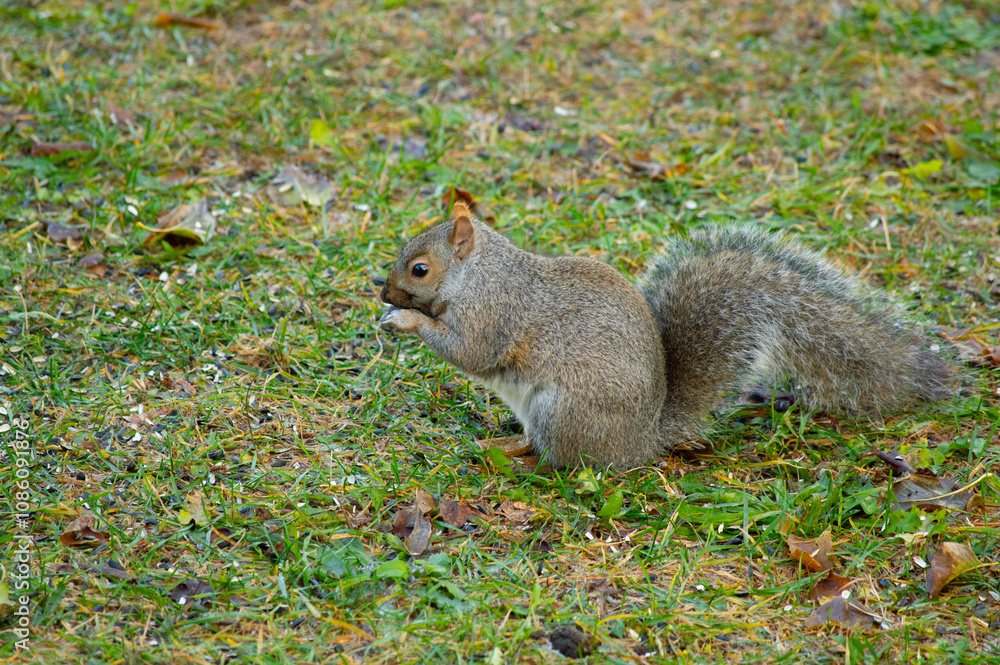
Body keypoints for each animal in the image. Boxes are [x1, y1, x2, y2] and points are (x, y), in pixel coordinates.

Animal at [378, 199, 956, 469]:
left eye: (420, 269)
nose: (383, 293)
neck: (476, 273)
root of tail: (643, 440)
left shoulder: (494, 313)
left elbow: (470, 351)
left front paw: (407, 322)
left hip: (563, 409)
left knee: (557, 455)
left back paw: (512, 453)